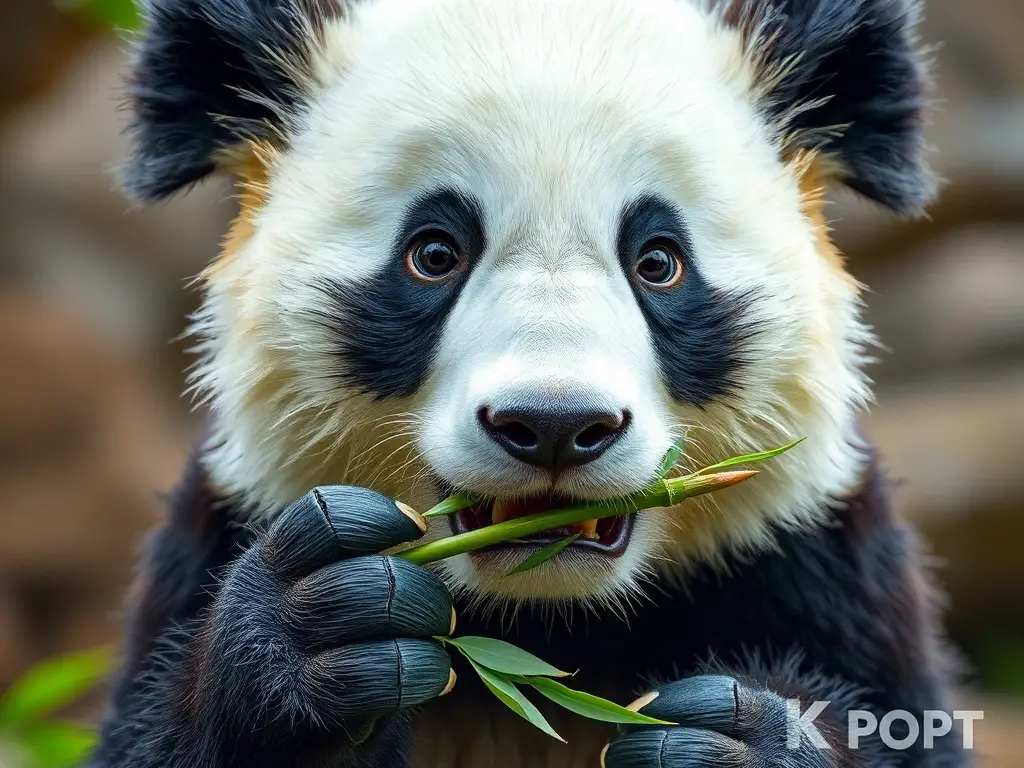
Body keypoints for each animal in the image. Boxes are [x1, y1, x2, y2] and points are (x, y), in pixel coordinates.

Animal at [89, 0, 970, 766]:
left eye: (659, 263)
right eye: (433, 254)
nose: (553, 424)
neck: (543, 627)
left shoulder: (813, 567)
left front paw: (730, 739)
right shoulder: (221, 530)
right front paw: (327, 624)